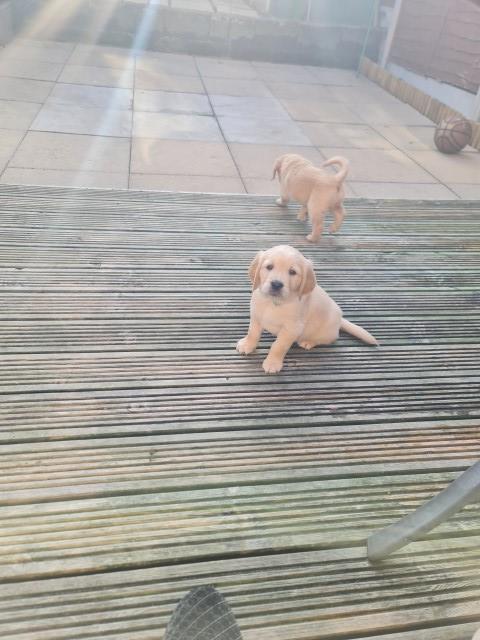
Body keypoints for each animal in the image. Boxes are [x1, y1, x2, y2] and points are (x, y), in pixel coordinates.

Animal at [236, 245, 378, 376]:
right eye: (269, 267)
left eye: (292, 272)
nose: (276, 284)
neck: (274, 303)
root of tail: (340, 320)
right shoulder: (256, 316)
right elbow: (252, 333)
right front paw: (247, 345)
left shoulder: (292, 328)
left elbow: (279, 346)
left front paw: (272, 363)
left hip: (325, 332)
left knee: (329, 339)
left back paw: (308, 342)